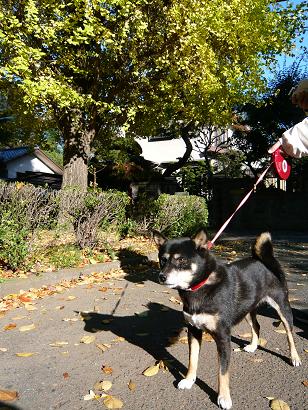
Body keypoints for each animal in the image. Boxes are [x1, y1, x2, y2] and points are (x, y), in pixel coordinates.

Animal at [153, 231, 302, 410]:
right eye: (163, 259)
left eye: (181, 260)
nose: (161, 277)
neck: (200, 287)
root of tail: (264, 261)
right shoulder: (193, 330)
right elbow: (192, 360)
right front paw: (189, 381)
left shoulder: (223, 337)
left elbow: (222, 372)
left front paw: (224, 397)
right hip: (246, 310)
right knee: (257, 326)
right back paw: (253, 346)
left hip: (282, 308)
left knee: (290, 335)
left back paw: (295, 357)